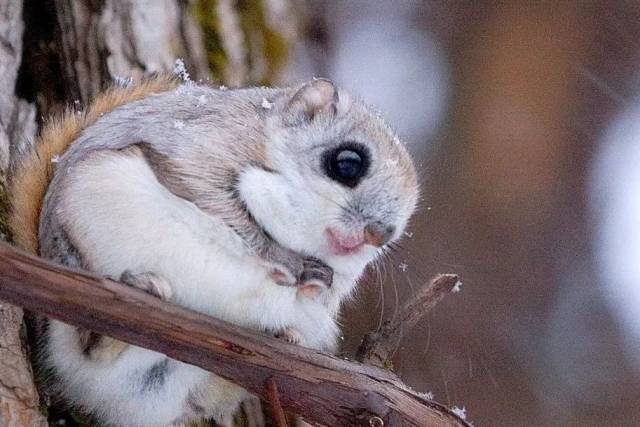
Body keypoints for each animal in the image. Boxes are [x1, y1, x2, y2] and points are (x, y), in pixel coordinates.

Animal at [8, 76, 420, 427]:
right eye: (348, 162)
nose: (380, 234)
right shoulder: (206, 149)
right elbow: (220, 204)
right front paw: (285, 260)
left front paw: (315, 285)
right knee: (88, 345)